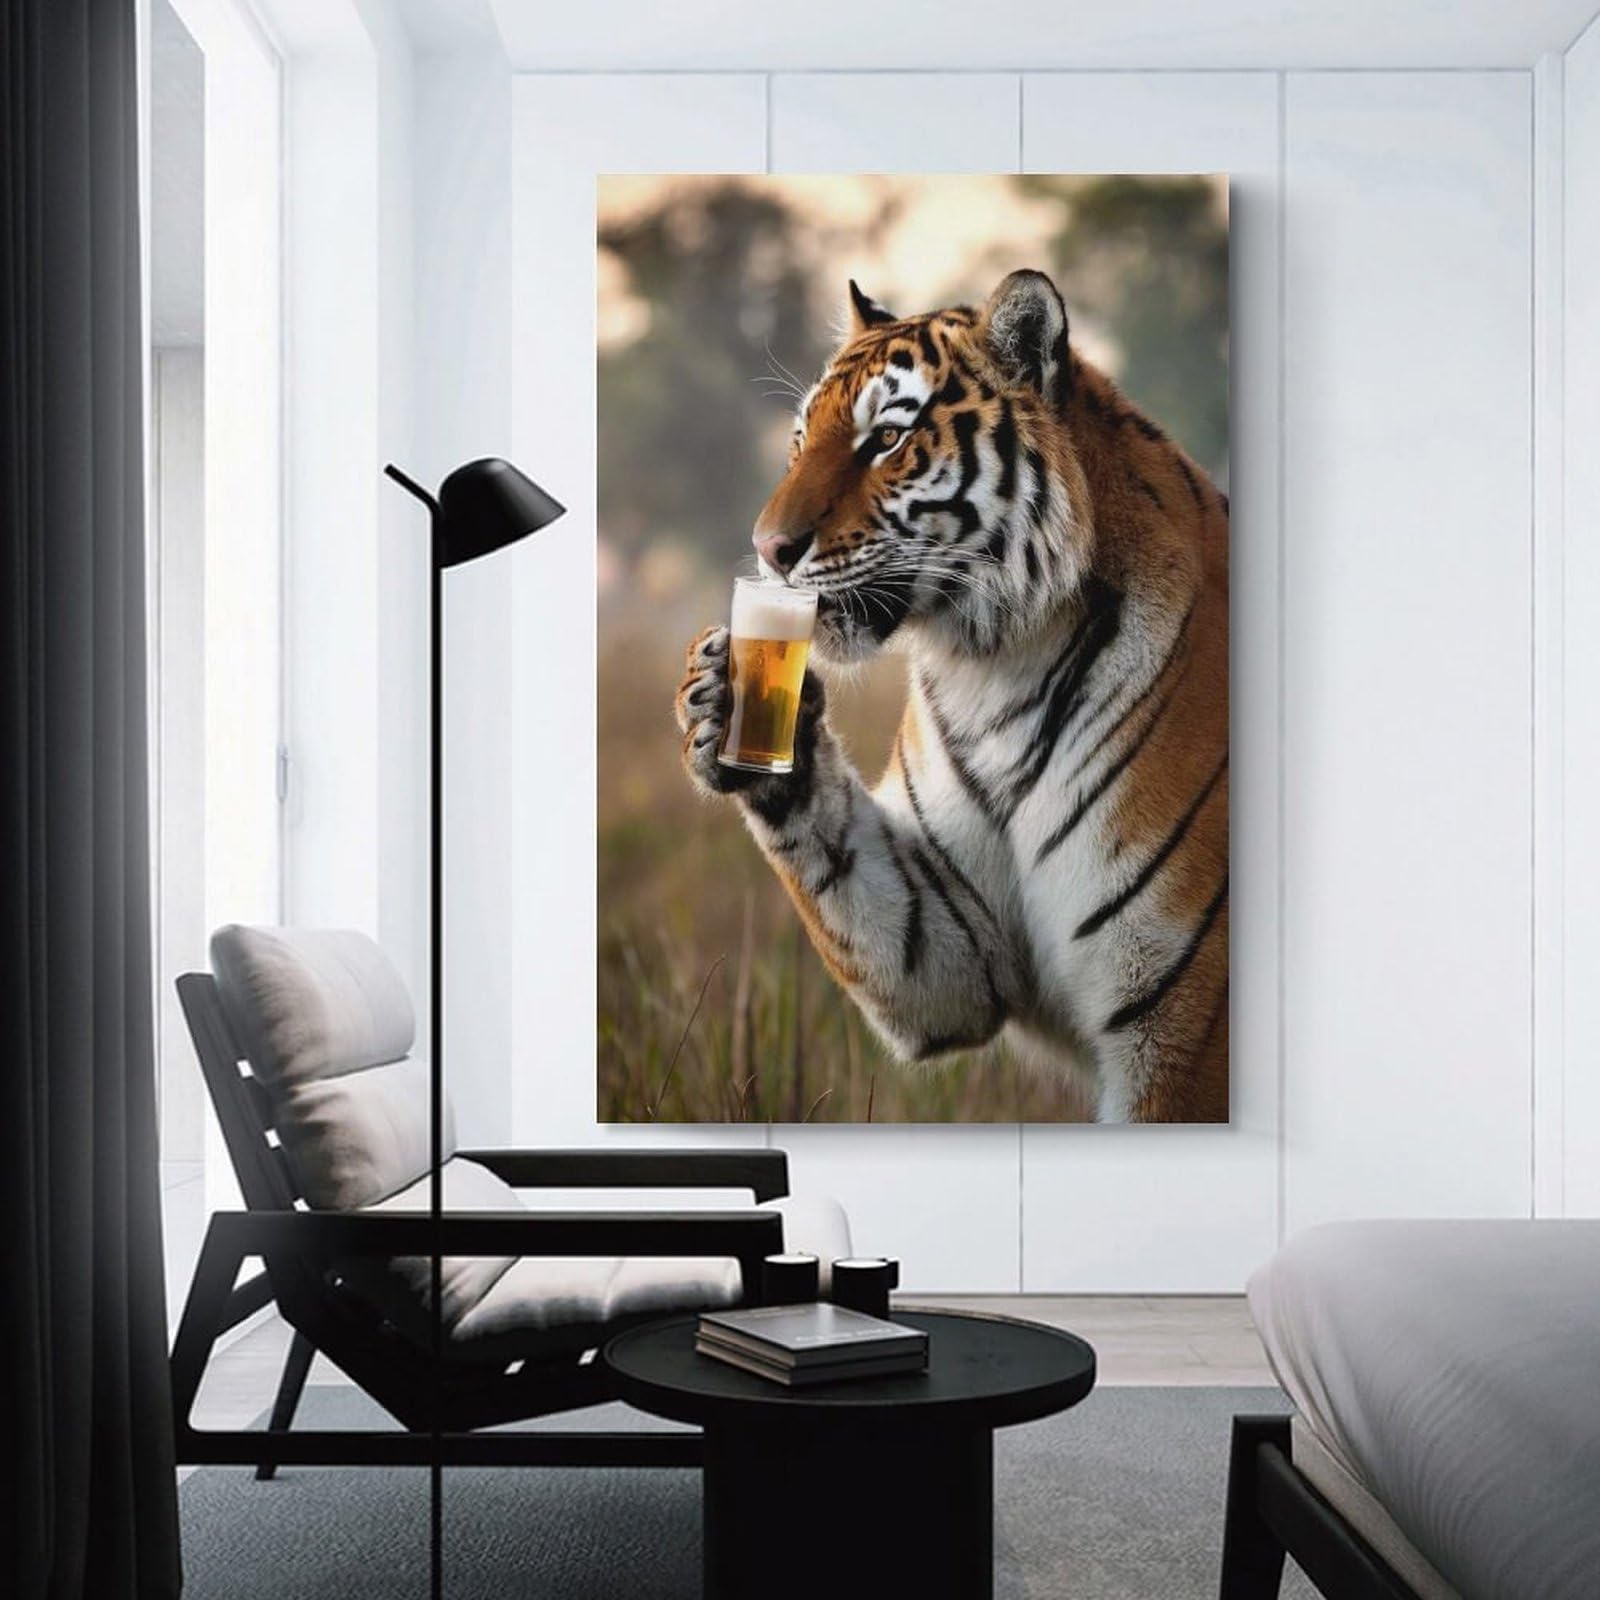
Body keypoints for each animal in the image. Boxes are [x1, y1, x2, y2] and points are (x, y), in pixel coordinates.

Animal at [674, 269, 1228, 1123]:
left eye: (885, 440)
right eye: (800, 441)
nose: (768, 551)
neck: (998, 669)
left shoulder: (1179, 1028)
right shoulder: (953, 949)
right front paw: (723, 705)